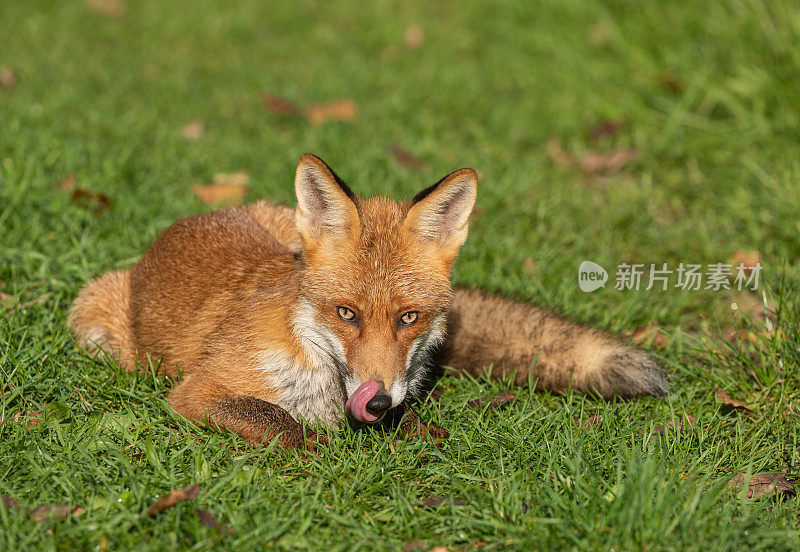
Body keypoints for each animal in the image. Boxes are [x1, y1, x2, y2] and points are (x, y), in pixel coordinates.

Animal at [70, 153, 668, 450]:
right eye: (346, 314)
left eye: (409, 317)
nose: (376, 401)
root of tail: (190, 219)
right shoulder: (199, 392)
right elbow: (279, 423)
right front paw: (320, 449)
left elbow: (411, 416)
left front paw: (418, 430)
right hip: (93, 323)